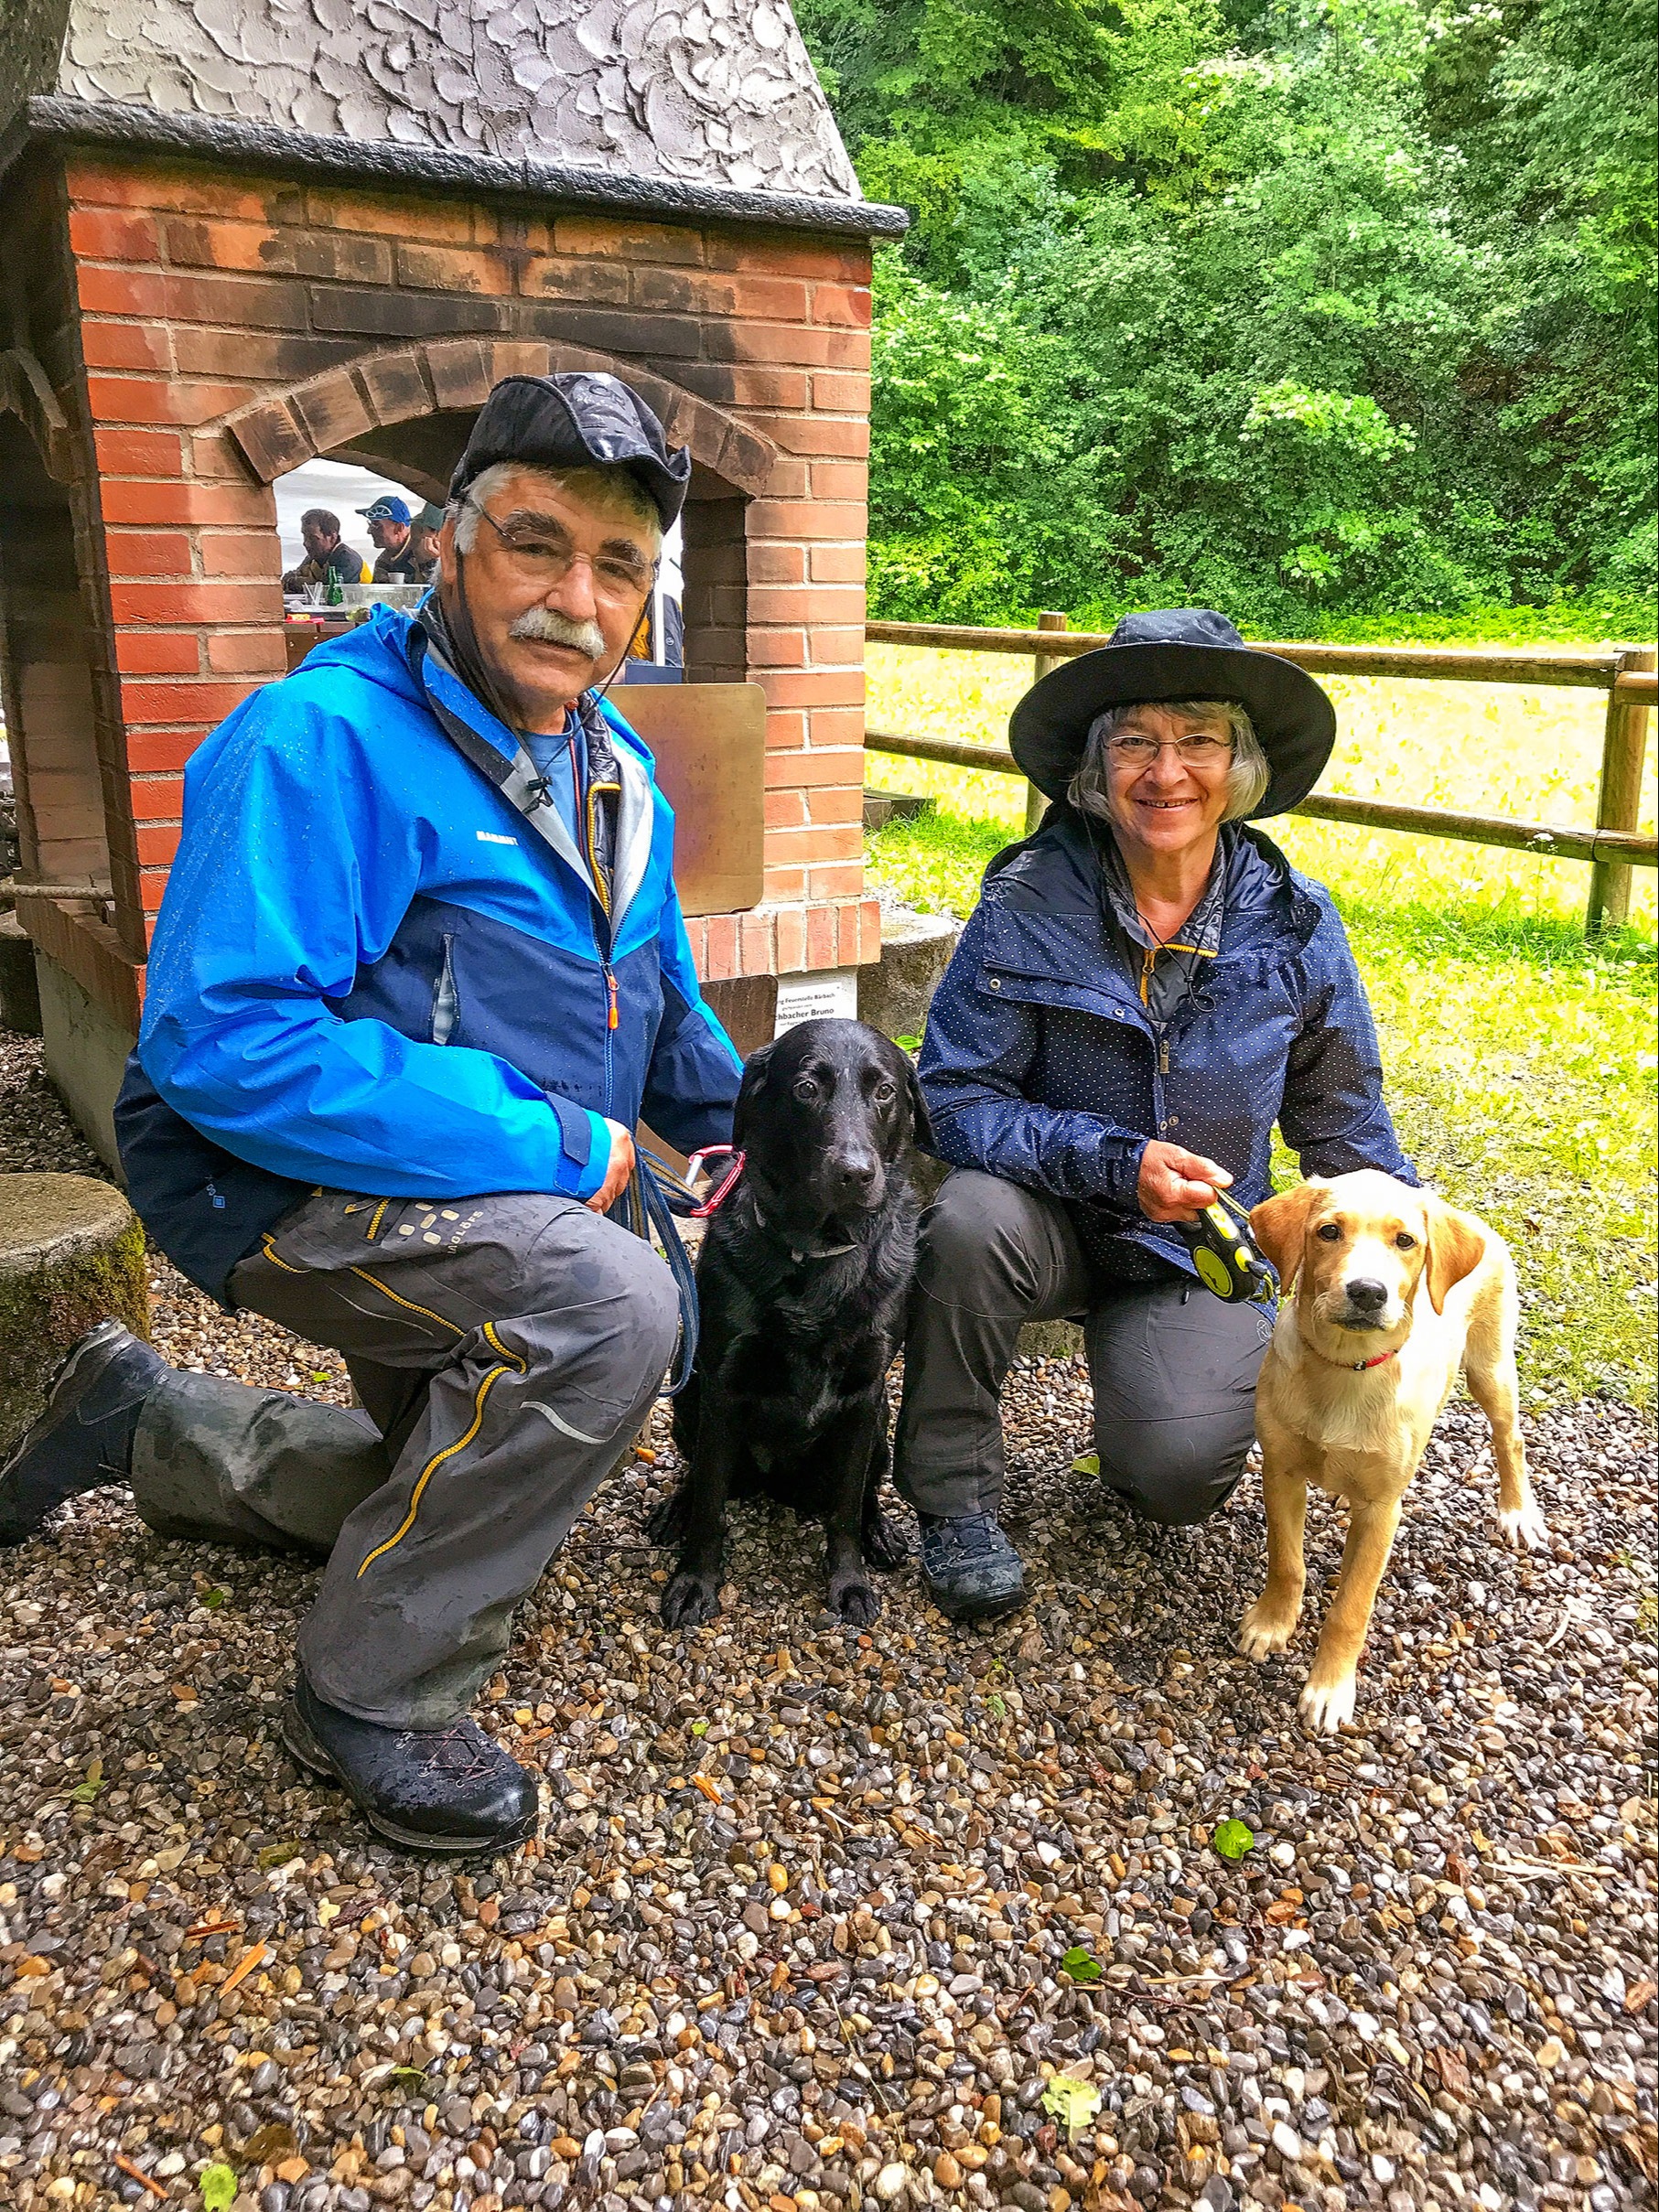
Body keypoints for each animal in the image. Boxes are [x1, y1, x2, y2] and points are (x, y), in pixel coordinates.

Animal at [654, 1017, 937, 1627]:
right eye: (807, 1088)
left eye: (885, 1092)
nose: (855, 1175)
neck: (816, 1254)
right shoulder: (723, 1389)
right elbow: (710, 1505)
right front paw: (694, 1582)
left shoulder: (864, 1395)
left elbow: (845, 1510)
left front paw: (849, 1582)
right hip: (688, 1403)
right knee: (699, 1477)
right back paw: (675, 1510)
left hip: (883, 1424)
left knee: (862, 1493)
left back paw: (880, 1531)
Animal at [1238, 1167, 1557, 1734]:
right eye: (1328, 1232)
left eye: (1405, 1241)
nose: (1367, 1292)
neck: (1347, 1367)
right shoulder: (1280, 1471)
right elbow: (1286, 1562)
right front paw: (1273, 1622)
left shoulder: (1384, 1510)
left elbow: (1351, 1606)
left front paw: (1330, 1687)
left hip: (1491, 1368)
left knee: (1510, 1437)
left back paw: (1518, 1511)